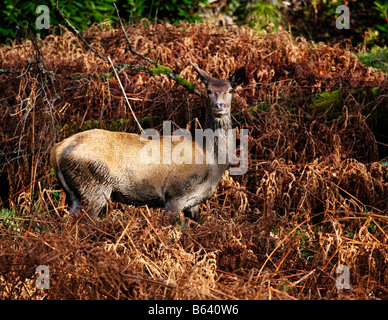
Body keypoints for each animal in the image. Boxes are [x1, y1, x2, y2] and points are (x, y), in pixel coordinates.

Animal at [50, 62, 246, 222]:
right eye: (208, 91)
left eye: (231, 90)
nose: (219, 106)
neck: (211, 161)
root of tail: (57, 150)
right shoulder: (175, 194)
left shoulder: (194, 204)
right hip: (94, 187)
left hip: (75, 193)